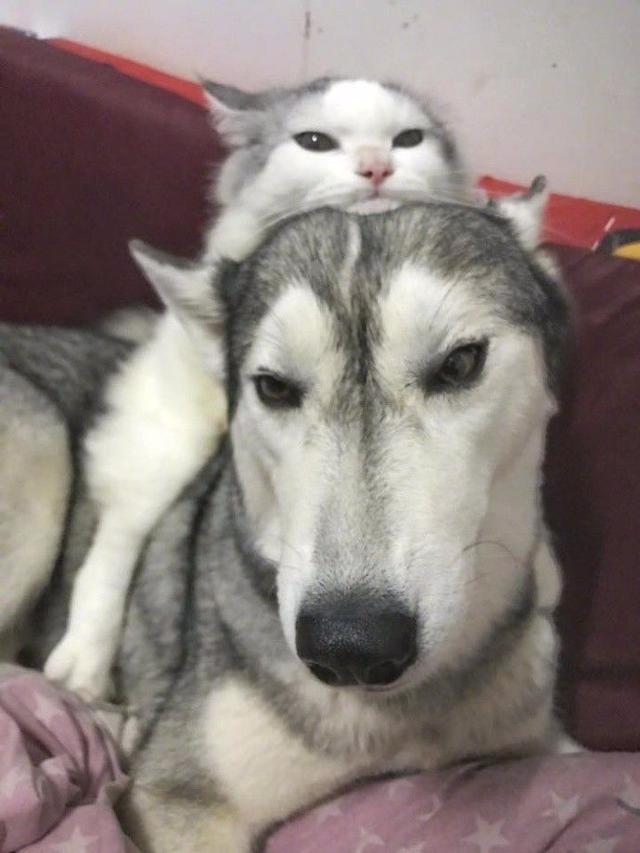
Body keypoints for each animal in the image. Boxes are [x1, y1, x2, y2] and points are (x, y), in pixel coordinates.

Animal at [43, 76, 471, 698]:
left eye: (409, 139)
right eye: (315, 141)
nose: (377, 166)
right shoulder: (167, 415)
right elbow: (122, 530)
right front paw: (87, 651)